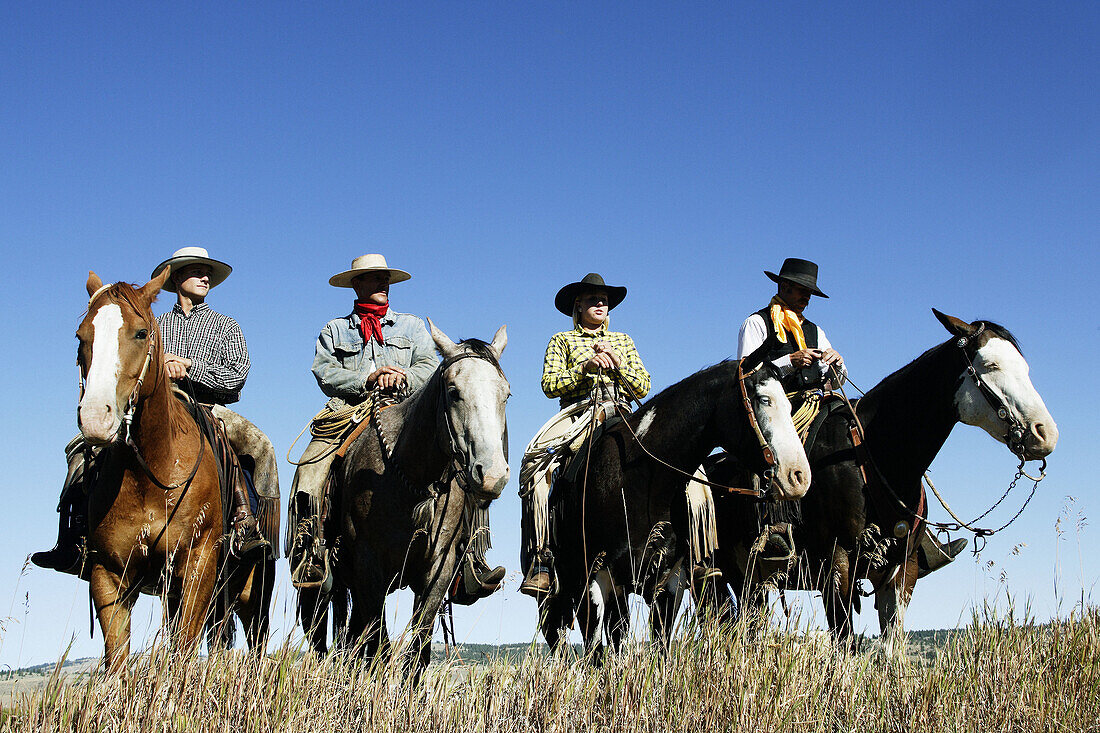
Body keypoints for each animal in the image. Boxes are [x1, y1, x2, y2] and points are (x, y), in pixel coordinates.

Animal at [77, 269, 272, 669]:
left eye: (141, 333)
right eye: (82, 336)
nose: (95, 418)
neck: (149, 474)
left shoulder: (198, 566)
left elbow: (183, 652)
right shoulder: (109, 574)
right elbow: (117, 660)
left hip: (252, 593)